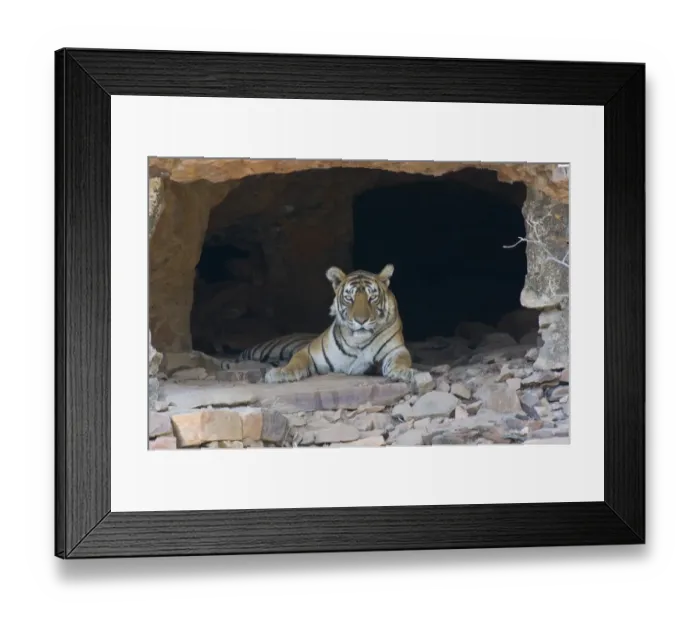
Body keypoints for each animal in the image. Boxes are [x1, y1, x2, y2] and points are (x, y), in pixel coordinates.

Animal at [236, 264, 417, 385]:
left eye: (372, 298)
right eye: (349, 298)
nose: (361, 320)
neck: (359, 341)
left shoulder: (396, 349)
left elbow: (401, 359)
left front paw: (403, 372)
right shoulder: (308, 351)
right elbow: (296, 361)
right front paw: (281, 372)